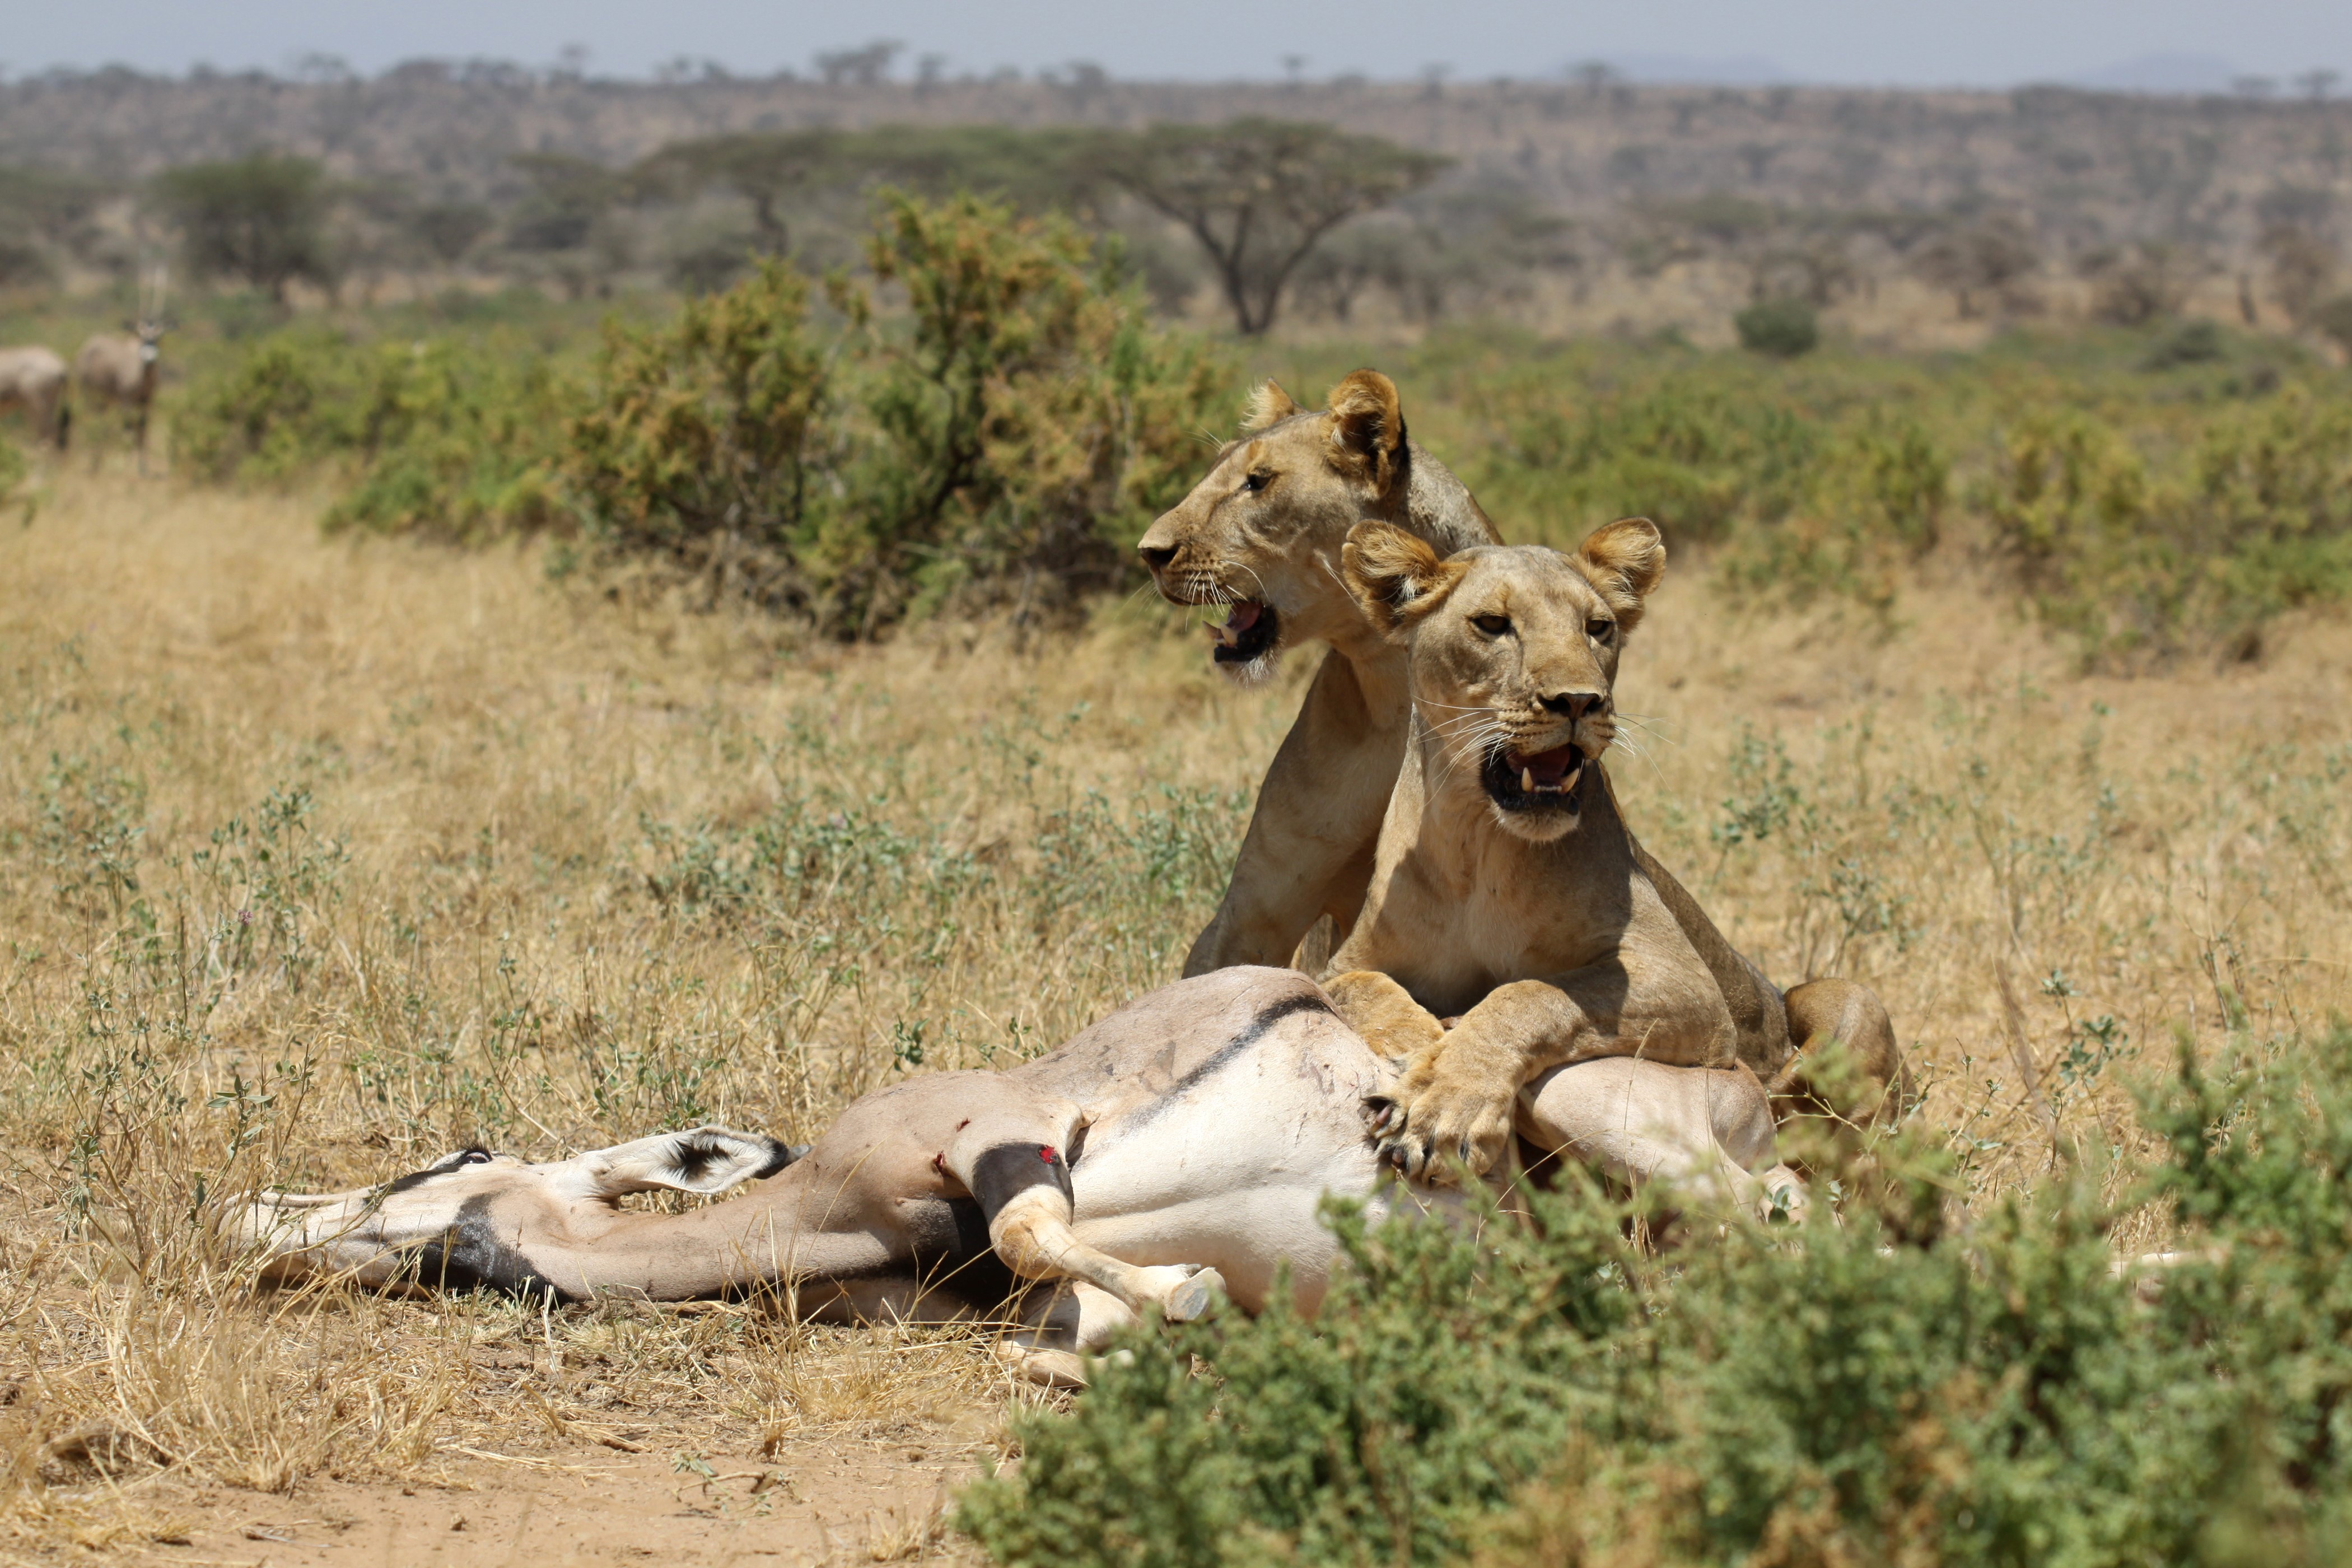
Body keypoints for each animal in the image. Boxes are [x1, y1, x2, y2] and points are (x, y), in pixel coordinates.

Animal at [1320, 519, 1910, 1180]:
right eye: (1493, 624)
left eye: (1597, 628)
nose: (1579, 701)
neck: (1478, 842)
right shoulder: (1344, 960)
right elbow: (1362, 989)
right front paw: (1418, 1053)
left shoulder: (1687, 986)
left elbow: (1529, 995)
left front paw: (1441, 1099)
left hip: (1846, 1003)